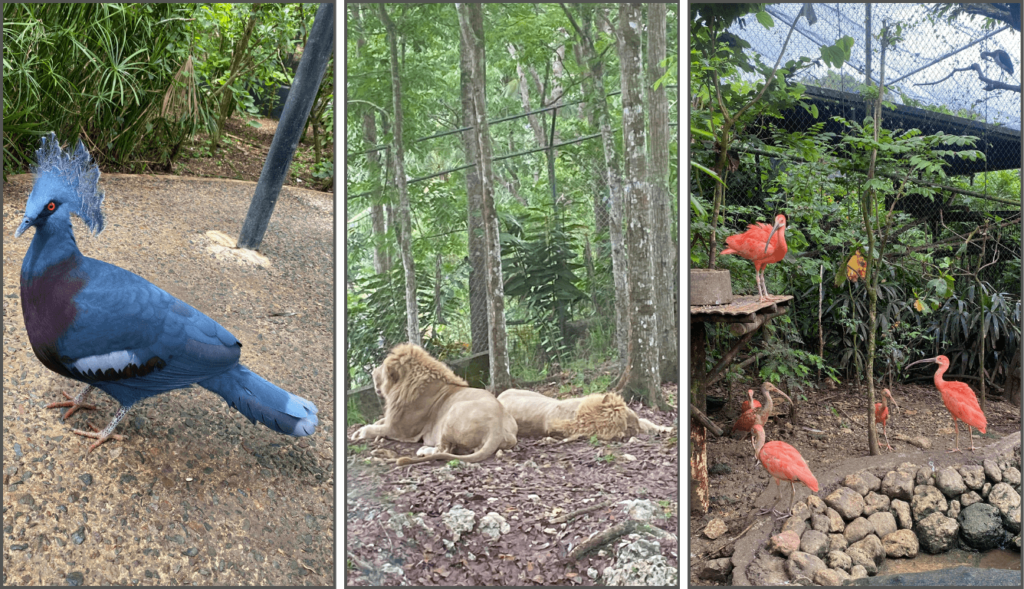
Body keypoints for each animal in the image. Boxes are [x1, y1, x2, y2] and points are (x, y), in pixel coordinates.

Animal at [350, 346, 520, 465]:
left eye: (382, 368)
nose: (372, 372)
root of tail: (496, 428)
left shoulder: (400, 430)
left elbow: (375, 429)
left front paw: (359, 433)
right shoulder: (394, 418)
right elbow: (378, 421)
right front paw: (360, 429)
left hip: (451, 413)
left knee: (444, 449)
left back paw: (423, 450)